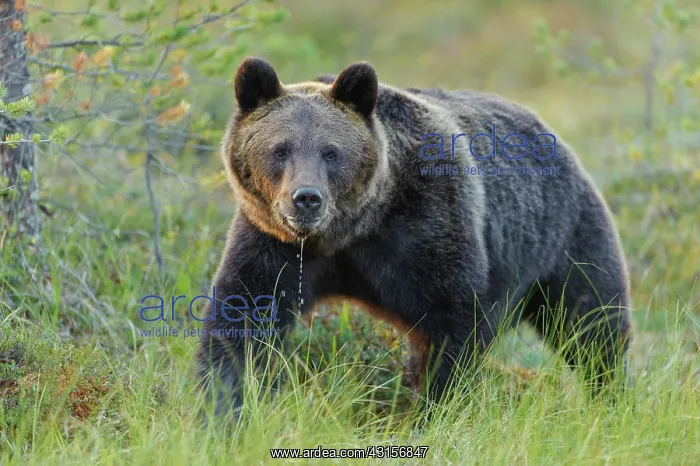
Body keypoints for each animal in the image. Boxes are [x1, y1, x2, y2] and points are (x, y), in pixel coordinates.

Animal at [197, 56, 632, 416]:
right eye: (280, 150)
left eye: (331, 152)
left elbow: (453, 323)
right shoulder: (275, 243)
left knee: (592, 321)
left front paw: (435, 410)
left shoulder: (426, 229)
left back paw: (612, 398)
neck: (352, 229)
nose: (306, 198)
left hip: (564, 236)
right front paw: (223, 408)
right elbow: (245, 314)